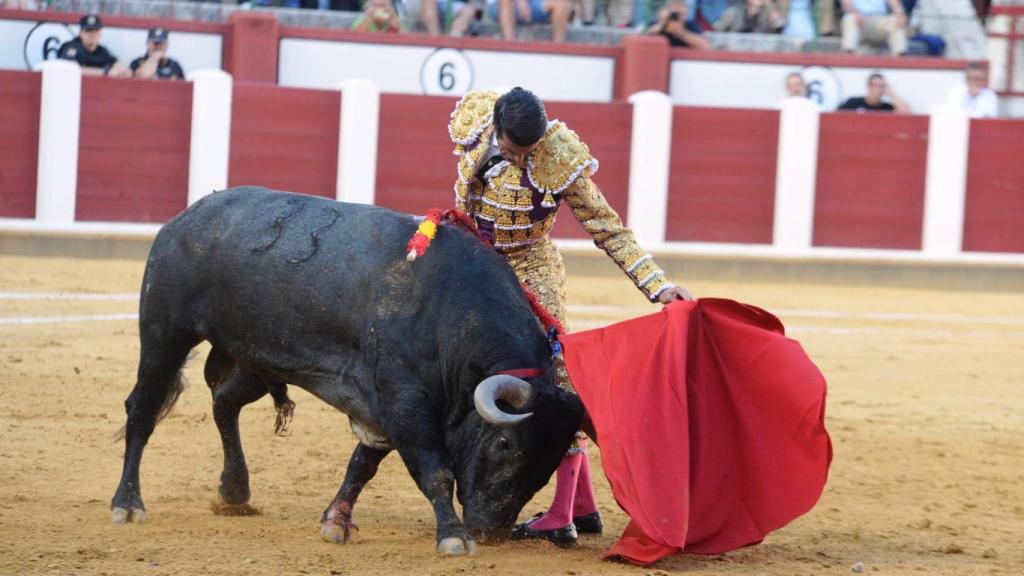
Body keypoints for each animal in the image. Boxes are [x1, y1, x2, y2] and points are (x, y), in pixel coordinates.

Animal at [111, 187, 585, 553]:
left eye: (554, 455)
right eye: (504, 442)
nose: (491, 530)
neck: (448, 312)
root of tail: (185, 218)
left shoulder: (383, 406)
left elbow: (362, 464)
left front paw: (335, 522)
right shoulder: (405, 401)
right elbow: (434, 469)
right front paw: (453, 536)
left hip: (256, 358)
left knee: (225, 402)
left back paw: (234, 491)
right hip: (165, 333)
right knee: (143, 409)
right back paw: (128, 504)